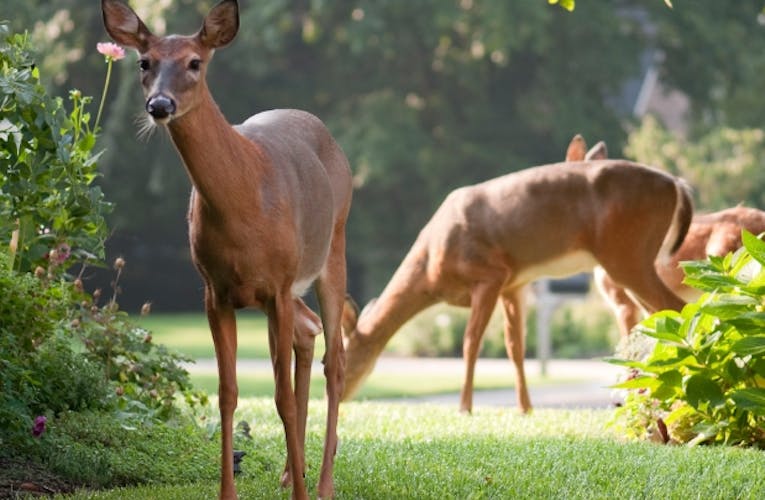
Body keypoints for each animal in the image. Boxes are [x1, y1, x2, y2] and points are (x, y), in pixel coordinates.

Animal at [101, 1, 352, 498]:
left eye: (195, 63)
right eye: (144, 62)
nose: (160, 105)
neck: (244, 203)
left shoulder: (277, 284)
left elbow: (280, 396)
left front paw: (302, 491)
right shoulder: (214, 290)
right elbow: (227, 394)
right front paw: (228, 491)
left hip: (332, 247)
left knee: (335, 360)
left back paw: (321, 484)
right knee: (308, 330)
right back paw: (288, 472)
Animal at [341, 152, 693, 415]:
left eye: (343, 356)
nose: (339, 396)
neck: (431, 268)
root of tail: (676, 184)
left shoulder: (489, 274)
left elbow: (471, 342)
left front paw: (464, 407)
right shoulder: (514, 285)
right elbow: (516, 347)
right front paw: (525, 408)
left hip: (626, 252)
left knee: (678, 307)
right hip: (632, 257)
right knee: (658, 317)